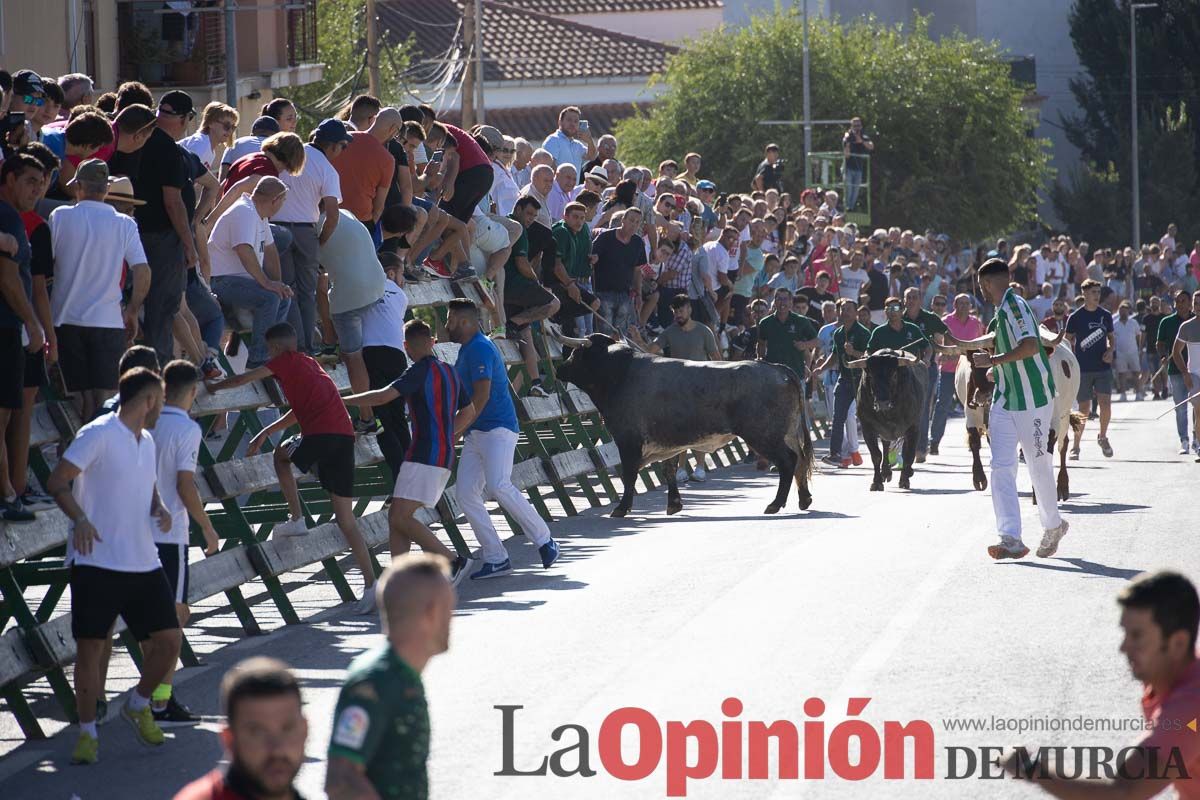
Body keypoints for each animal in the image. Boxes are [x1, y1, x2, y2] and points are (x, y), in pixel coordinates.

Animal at [554, 333, 816, 515]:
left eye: (575, 354)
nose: (559, 369)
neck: (622, 373)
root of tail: (775, 367)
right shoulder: (665, 441)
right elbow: (668, 470)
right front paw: (674, 504)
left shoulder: (628, 441)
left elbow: (630, 475)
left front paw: (621, 508)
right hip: (787, 433)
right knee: (800, 460)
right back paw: (804, 499)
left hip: (764, 435)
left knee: (788, 461)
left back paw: (776, 504)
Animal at [854, 352, 926, 491]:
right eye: (871, 376)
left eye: (893, 375)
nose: (882, 403)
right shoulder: (867, 429)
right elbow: (876, 455)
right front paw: (876, 482)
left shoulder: (914, 428)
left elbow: (909, 454)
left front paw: (904, 480)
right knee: (886, 446)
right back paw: (886, 472)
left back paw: (906, 472)